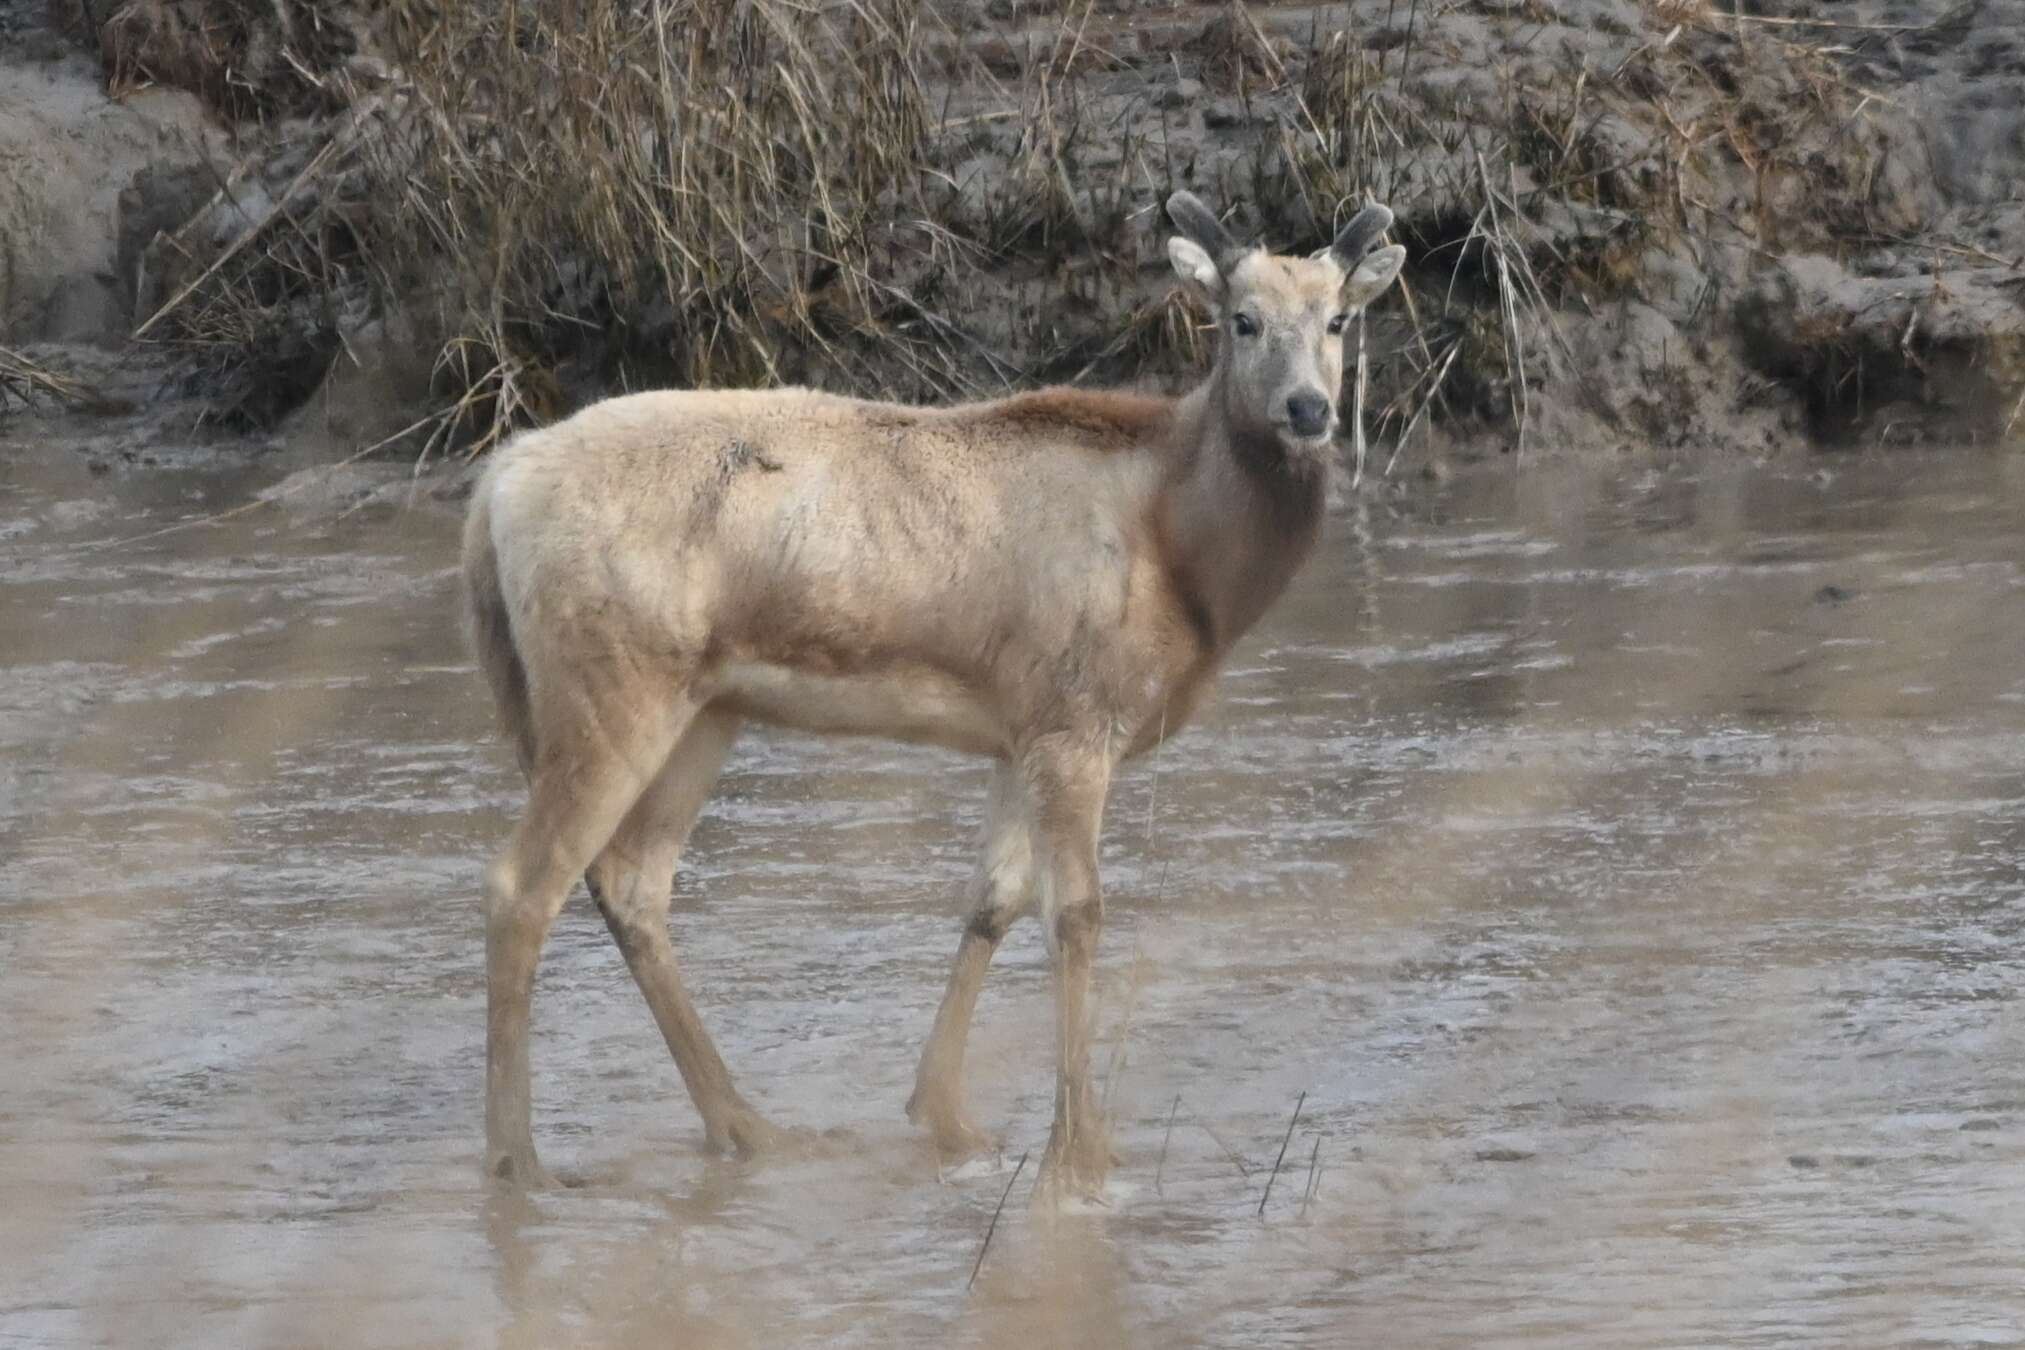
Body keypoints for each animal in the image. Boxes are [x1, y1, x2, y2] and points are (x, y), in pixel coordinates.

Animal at [463, 187, 1409, 1190]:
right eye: (1241, 318)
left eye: (1338, 319)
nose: (1308, 408)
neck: (1186, 563)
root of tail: (493, 488)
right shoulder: (1075, 718)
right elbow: (1076, 912)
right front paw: (1080, 1149)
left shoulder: (1017, 726)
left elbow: (993, 897)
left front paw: (944, 1115)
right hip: (611, 686)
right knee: (523, 884)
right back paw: (519, 1159)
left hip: (704, 709)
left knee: (633, 882)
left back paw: (745, 1124)